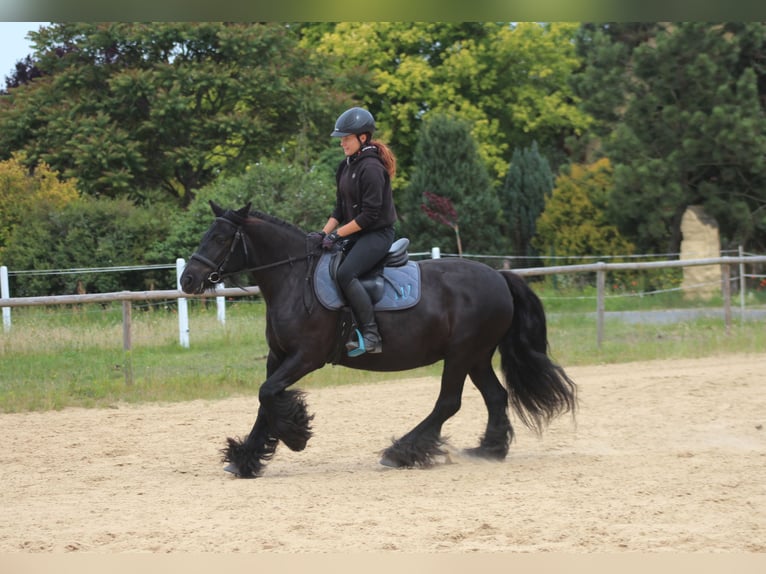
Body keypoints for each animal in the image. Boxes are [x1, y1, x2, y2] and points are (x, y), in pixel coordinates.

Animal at [180, 205, 576, 480]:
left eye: (220, 239)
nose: (188, 280)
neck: (293, 278)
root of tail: (498, 276)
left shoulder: (305, 357)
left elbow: (268, 395)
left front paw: (296, 435)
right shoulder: (277, 357)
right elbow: (265, 400)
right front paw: (245, 459)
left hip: (462, 354)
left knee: (449, 402)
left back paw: (402, 452)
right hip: (477, 357)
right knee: (495, 396)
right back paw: (488, 450)